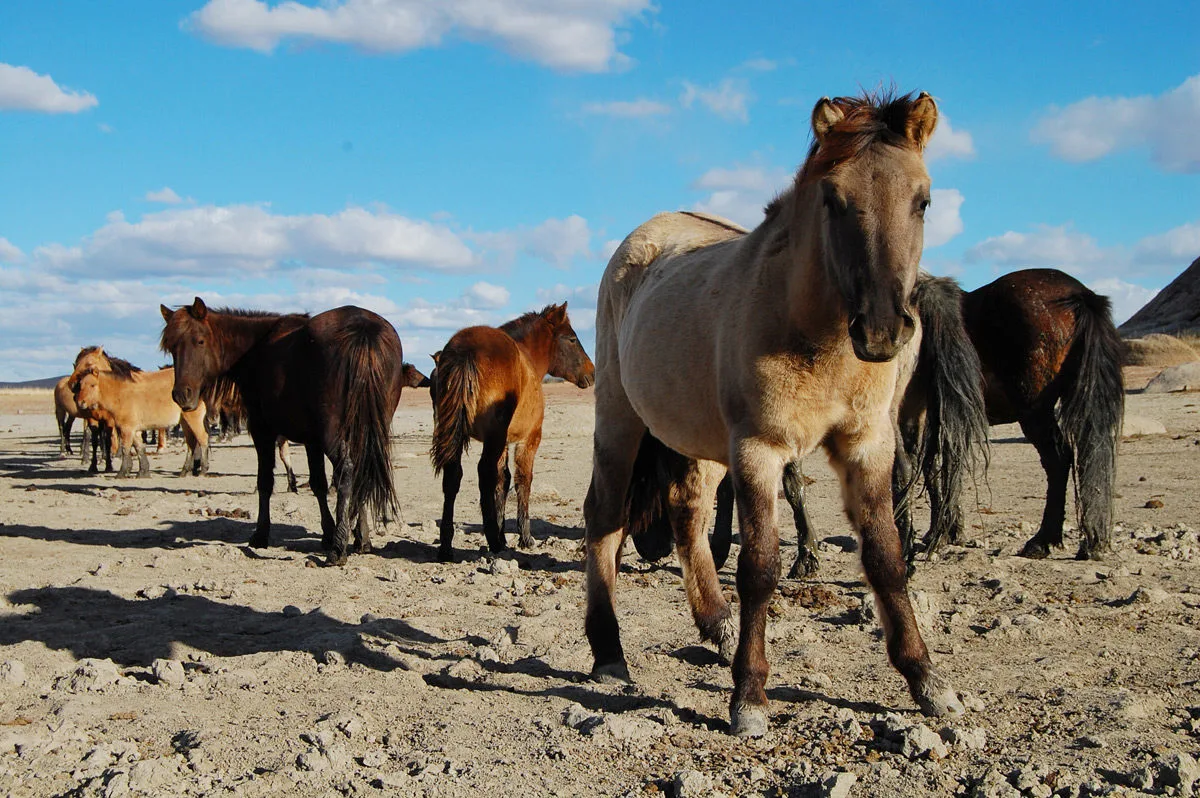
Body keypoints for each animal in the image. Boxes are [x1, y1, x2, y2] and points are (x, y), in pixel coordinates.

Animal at [71, 366, 210, 477]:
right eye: (80, 385)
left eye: (92, 385)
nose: (80, 403)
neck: (121, 393)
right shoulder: (134, 429)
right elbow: (139, 448)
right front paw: (143, 472)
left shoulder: (126, 429)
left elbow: (126, 448)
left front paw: (122, 472)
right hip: (184, 421)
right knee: (191, 444)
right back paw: (185, 471)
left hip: (193, 418)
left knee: (203, 439)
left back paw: (203, 470)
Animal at [160, 299, 404, 565]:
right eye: (172, 347)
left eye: (200, 340)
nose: (181, 395)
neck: (256, 348)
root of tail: (362, 326)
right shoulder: (312, 440)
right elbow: (318, 484)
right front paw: (339, 535)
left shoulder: (262, 430)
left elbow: (265, 482)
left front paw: (261, 534)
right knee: (359, 472)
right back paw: (358, 539)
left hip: (332, 433)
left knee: (347, 471)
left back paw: (338, 548)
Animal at [430, 303, 594, 562]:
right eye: (572, 339)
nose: (592, 372)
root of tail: (465, 351)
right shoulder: (529, 438)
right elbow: (522, 480)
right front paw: (524, 537)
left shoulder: (504, 443)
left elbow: (503, 481)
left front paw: (504, 532)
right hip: (493, 438)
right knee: (484, 474)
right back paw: (493, 541)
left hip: (456, 435)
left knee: (453, 477)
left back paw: (447, 546)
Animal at [584, 90, 964, 738]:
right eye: (834, 199)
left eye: (923, 200)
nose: (882, 330)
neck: (817, 336)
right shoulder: (759, 450)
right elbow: (760, 566)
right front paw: (751, 697)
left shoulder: (868, 445)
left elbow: (886, 558)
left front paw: (928, 682)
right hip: (619, 419)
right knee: (605, 518)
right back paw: (609, 653)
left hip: (699, 437)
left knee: (687, 510)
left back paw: (717, 625)